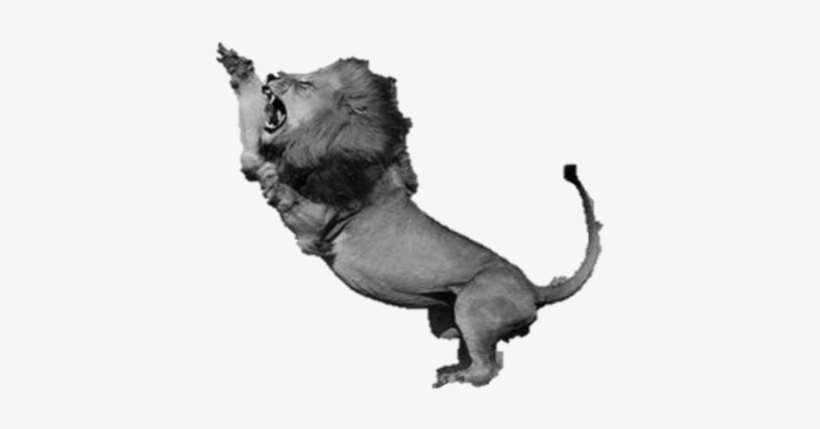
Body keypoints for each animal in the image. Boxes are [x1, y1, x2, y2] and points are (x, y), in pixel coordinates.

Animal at [217, 44, 602, 387]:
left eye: (305, 84)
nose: (273, 76)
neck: (314, 142)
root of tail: (532, 288)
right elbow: (251, 141)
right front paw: (239, 69)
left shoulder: (324, 223)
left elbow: (283, 188)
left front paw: (273, 181)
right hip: (447, 316)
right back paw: (452, 369)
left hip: (474, 301)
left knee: (489, 368)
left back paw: (458, 378)